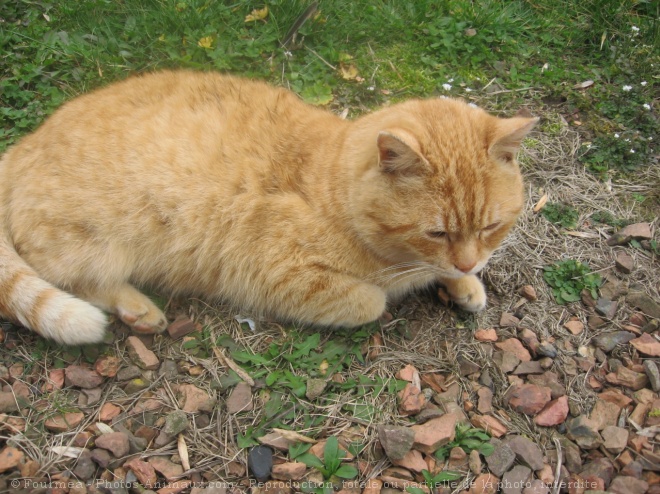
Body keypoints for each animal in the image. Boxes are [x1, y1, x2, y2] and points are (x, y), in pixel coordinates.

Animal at [0, 71, 536, 346]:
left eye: (491, 226)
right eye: (436, 232)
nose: (466, 262)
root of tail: (19, 147)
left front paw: (465, 284)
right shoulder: (280, 275)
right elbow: (372, 300)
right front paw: (431, 283)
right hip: (93, 245)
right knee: (71, 278)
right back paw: (138, 310)